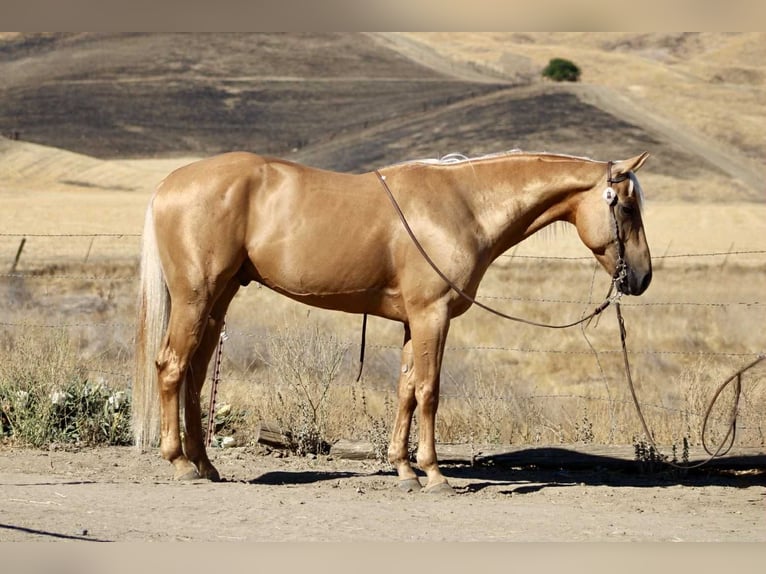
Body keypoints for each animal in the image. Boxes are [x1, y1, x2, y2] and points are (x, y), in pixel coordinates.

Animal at [133, 149, 652, 493]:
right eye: (626, 206)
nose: (642, 277)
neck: (464, 205)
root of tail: (168, 185)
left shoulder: (412, 322)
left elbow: (406, 389)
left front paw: (403, 469)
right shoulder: (432, 315)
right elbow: (429, 391)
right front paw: (435, 474)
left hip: (216, 302)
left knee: (195, 375)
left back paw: (205, 465)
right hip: (196, 299)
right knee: (171, 366)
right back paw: (179, 463)